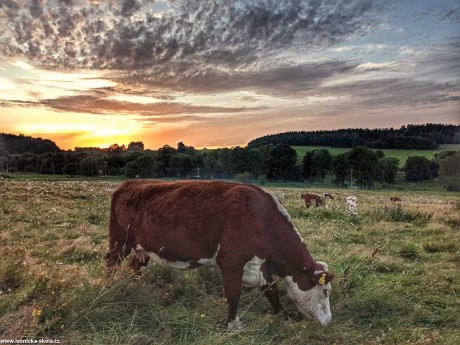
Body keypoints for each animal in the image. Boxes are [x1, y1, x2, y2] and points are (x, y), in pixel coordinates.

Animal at [105, 180, 332, 328]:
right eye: (325, 292)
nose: (328, 321)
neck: (261, 218)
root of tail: (128, 183)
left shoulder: (261, 265)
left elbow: (272, 292)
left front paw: (283, 315)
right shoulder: (231, 262)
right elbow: (233, 295)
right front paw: (232, 325)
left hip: (141, 248)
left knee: (135, 265)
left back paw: (137, 286)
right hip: (120, 240)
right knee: (110, 262)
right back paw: (107, 288)